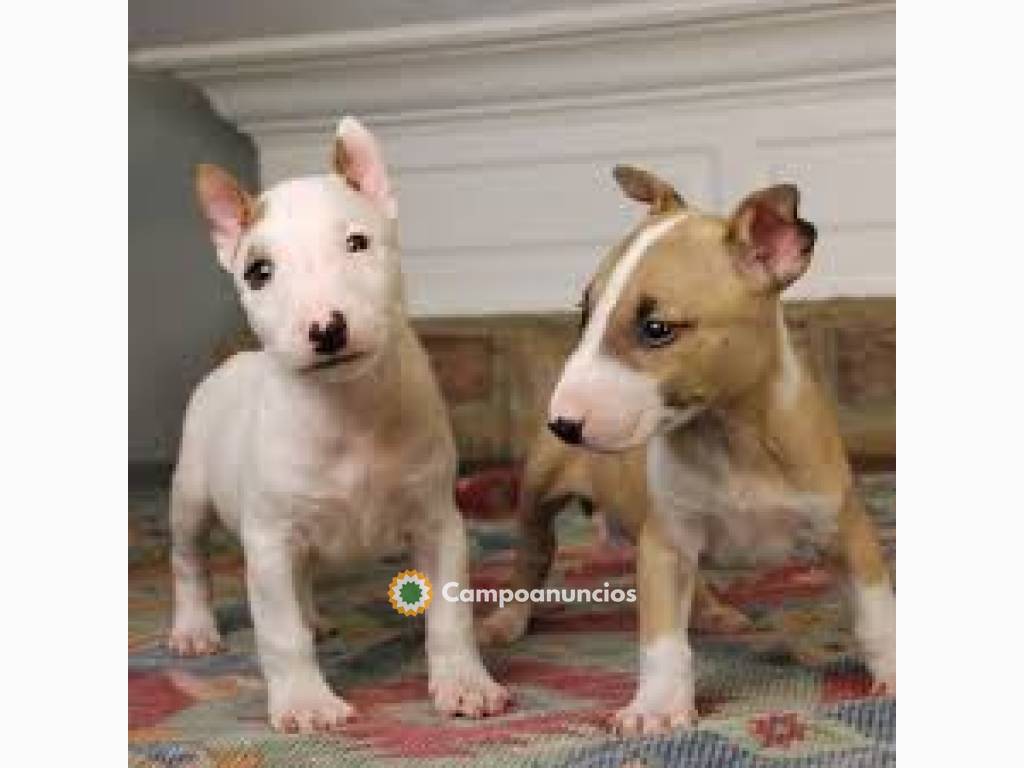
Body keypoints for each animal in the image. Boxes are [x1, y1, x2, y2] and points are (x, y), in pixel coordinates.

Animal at [166, 117, 512, 737]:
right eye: (258, 272)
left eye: (357, 243)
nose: (326, 328)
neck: (349, 410)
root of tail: (234, 362)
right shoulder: (269, 537)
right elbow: (278, 633)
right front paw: (305, 701)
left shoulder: (438, 522)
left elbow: (450, 615)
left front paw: (465, 684)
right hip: (191, 495)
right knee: (189, 560)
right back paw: (195, 628)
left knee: (300, 579)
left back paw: (313, 617)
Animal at [548, 166, 892, 733]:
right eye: (584, 313)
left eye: (656, 329)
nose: (562, 424)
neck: (732, 437)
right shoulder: (665, 541)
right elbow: (662, 637)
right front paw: (657, 706)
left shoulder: (847, 528)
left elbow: (875, 609)